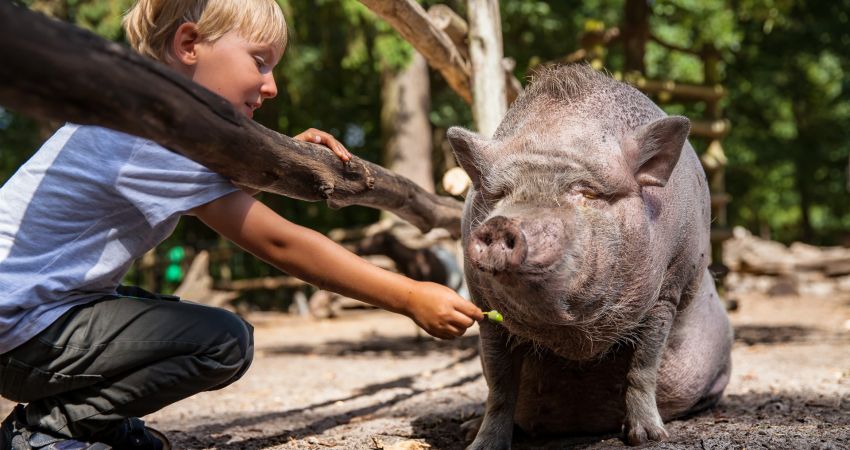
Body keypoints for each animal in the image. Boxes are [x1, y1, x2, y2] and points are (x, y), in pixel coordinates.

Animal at [448, 62, 732, 446]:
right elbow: (499, 384)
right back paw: (466, 429)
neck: (573, 343)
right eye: (500, 194)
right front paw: (480, 445)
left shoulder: (670, 288)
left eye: (587, 192)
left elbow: (643, 366)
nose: (503, 223)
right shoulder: (482, 306)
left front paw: (648, 438)